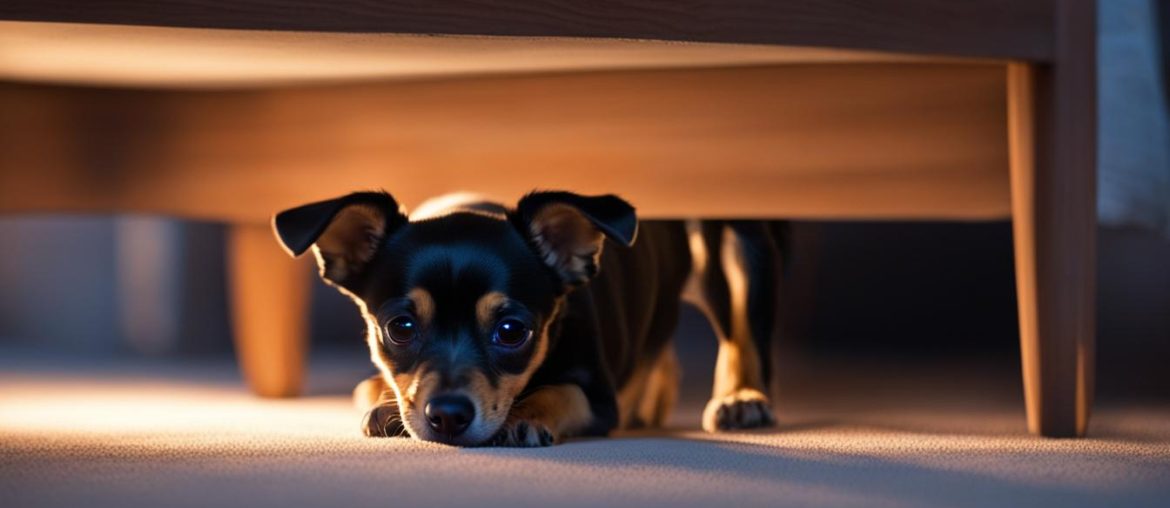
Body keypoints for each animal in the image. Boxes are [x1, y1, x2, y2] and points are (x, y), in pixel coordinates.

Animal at [273, 189, 781, 444]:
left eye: (512, 331)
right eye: (401, 328)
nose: (448, 416)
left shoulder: (598, 400)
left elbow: (559, 390)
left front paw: (526, 414)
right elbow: (378, 386)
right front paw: (384, 404)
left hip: (734, 246)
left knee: (743, 336)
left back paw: (742, 398)